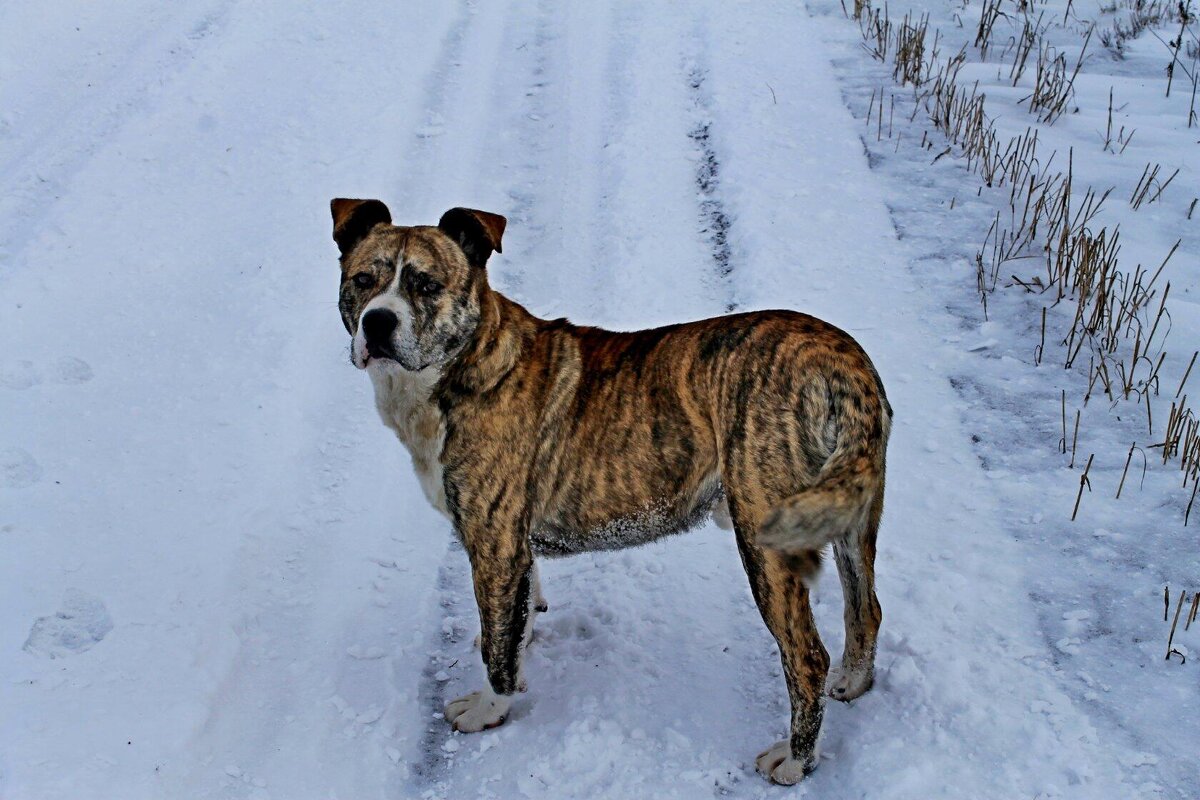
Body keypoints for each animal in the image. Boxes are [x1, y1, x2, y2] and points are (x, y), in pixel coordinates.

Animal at [328, 199, 892, 782]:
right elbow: (516, 621)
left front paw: (491, 707)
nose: (378, 321)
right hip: (853, 515)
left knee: (805, 654)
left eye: (427, 285)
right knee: (865, 606)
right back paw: (852, 682)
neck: (465, 362)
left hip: (769, 539)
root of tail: (842, 365)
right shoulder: (514, 550)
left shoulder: (494, 545)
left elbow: (497, 646)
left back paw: (795, 759)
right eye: (363, 281)